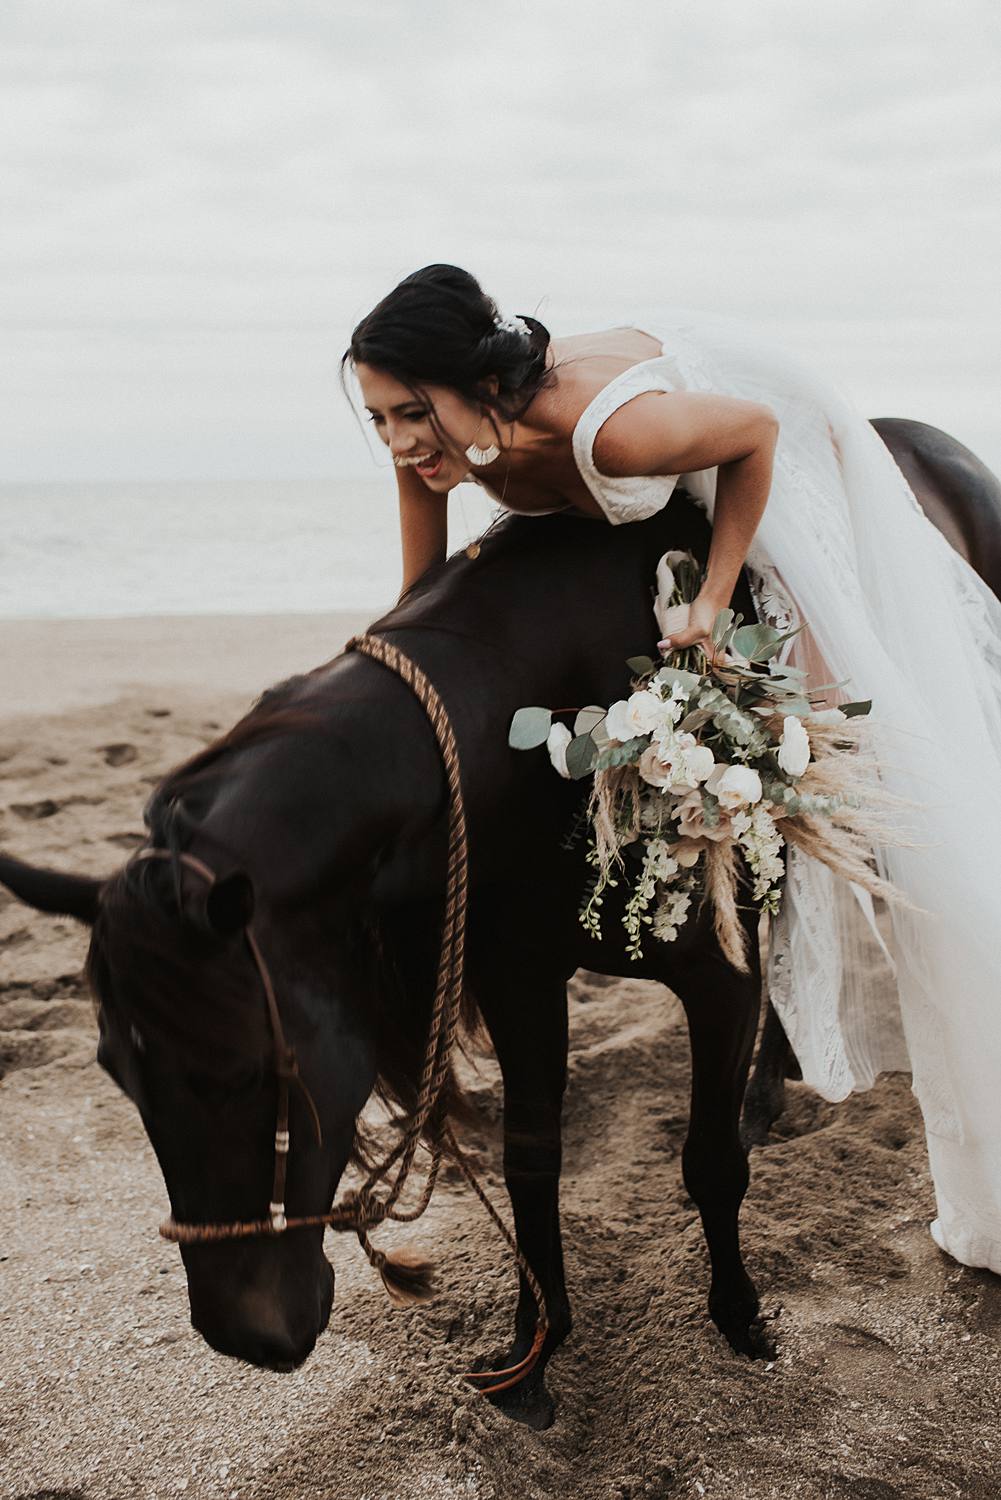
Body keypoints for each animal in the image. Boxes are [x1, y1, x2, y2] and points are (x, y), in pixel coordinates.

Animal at [5, 417, 1001, 1422]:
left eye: (261, 1071)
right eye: (117, 1073)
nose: (242, 1335)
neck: (540, 731)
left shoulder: (714, 976)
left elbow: (708, 1160)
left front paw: (738, 1316)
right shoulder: (519, 977)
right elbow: (531, 1163)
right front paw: (535, 1350)